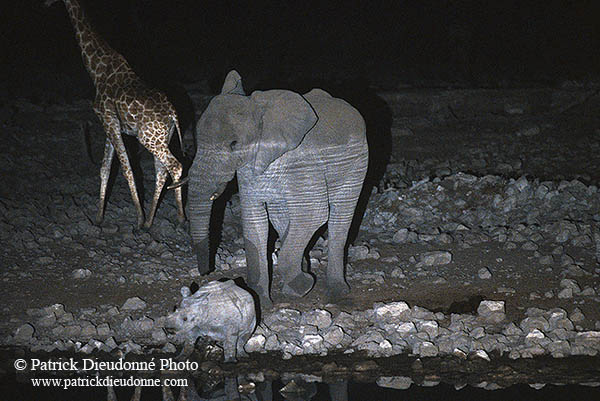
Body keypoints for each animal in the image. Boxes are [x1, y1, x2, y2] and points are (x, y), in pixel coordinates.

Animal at [46, 0, 186, 228]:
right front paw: (98, 218)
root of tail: (173, 113)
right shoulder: (109, 125)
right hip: (163, 137)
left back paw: (177, 218)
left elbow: (127, 169)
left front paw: (138, 218)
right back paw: (152, 221)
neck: (96, 69)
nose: (45, 4)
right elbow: (105, 169)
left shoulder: (109, 121)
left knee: (174, 166)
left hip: (149, 139)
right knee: (161, 171)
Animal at [188, 70, 368, 308]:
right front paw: (261, 302)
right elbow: (255, 223)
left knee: (341, 215)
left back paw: (336, 291)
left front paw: (304, 285)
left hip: (357, 164)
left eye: (234, 144)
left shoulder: (302, 163)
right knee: (281, 217)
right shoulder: (248, 170)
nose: (206, 273)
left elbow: (313, 213)